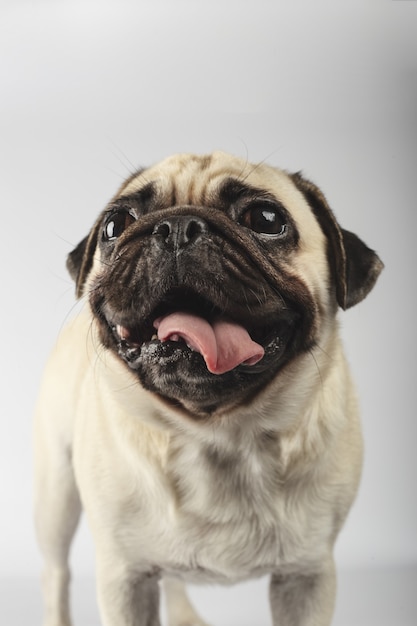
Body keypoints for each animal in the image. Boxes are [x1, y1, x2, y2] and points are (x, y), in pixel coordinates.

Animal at [35, 152, 384, 624]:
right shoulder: (125, 578)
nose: (176, 227)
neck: (217, 433)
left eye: (266, 219)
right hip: (55, 496)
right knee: (56, 575)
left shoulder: (307, 576)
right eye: (116, 224)